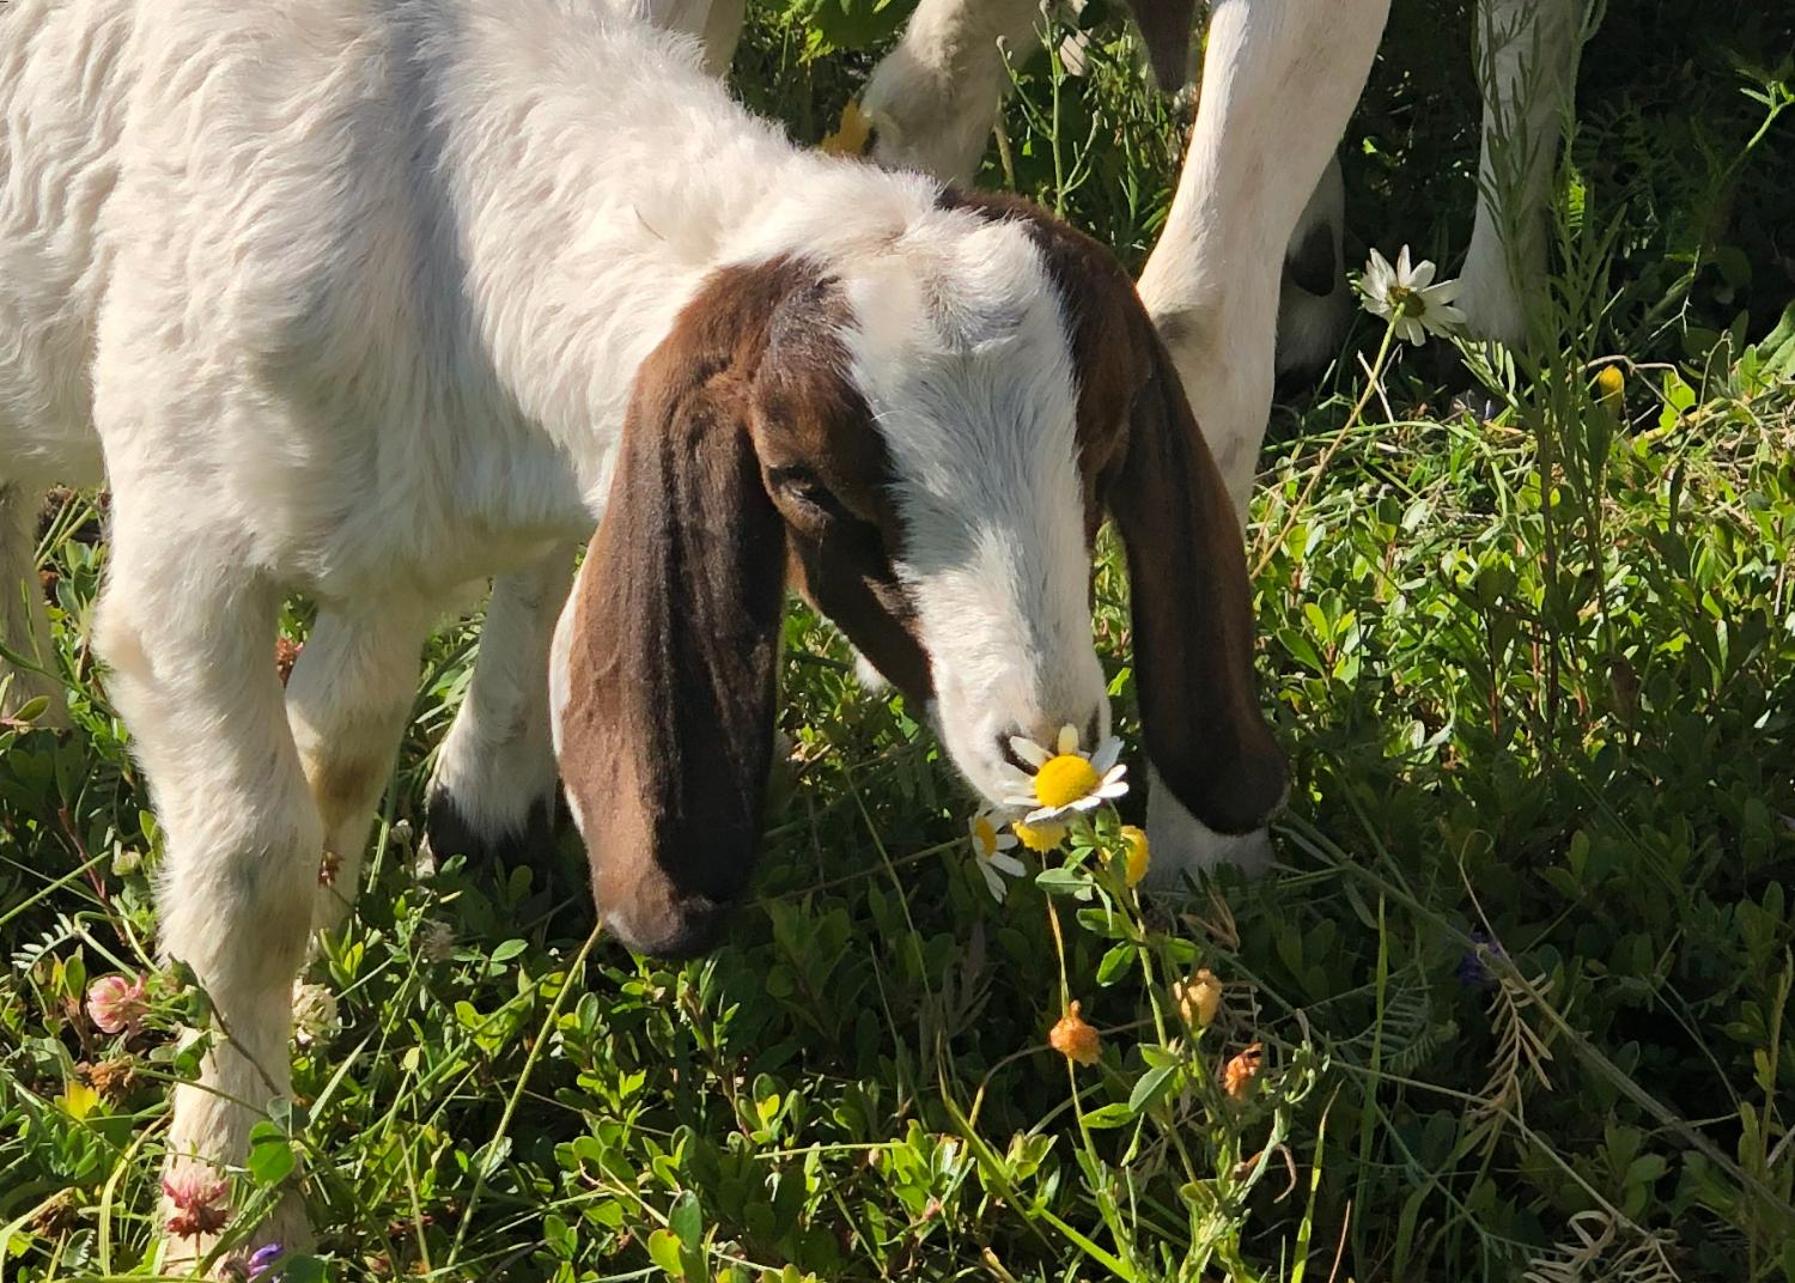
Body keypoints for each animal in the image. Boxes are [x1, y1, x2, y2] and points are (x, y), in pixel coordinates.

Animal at [0, 0, 1284, 1257]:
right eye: (806, 483)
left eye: (1101, 442)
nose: (1048, 747)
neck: (430, 194)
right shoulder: (184, 575)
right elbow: (253, 873)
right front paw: (227, 1210)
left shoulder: (389, 554)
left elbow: (341, 752)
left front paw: (315, 1004)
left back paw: (33, 720)